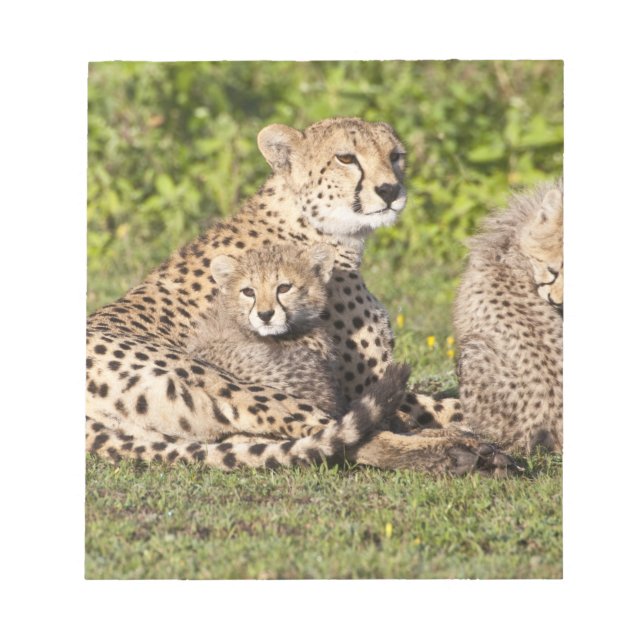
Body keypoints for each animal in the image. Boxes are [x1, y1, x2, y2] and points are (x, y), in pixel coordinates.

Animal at [87, 116, 513, 474]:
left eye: (395, 156)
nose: (390, 190)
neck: (314, 226)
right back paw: (460, 452)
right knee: (348, 436)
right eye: (346, 158)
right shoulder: (355, 383)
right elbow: (441, 408)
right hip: (232, 382)